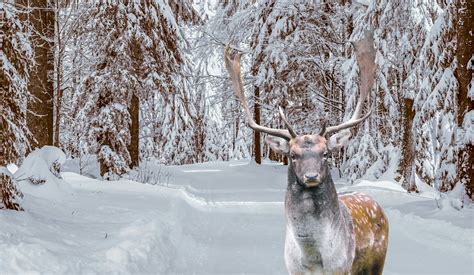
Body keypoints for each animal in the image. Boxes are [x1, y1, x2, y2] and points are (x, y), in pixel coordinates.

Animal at [225, 33, 388, 275]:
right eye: (292, 155)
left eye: (326, 153)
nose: (311, 176)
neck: (313, 259)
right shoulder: (292, 269)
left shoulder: (341, 268)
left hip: (377, 262)